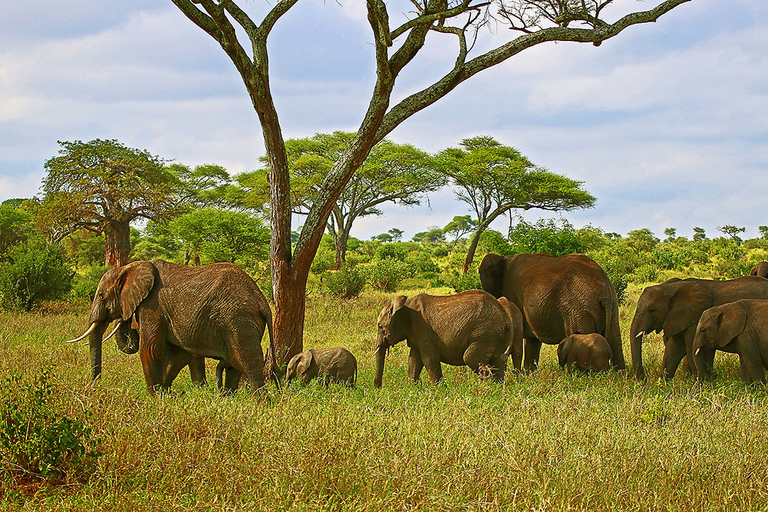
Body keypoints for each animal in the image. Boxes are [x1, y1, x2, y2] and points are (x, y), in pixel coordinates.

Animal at [65, 260, 276, 396]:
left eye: (101, 295)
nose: (95, 385)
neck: (128, 267)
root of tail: (261, 300)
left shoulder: (152, 305)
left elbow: (151, 349)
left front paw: (154, 396)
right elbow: (178, 355)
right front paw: (165, 393)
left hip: (238, 320)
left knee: (248, 361)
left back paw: (259, 402)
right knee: (233, 365)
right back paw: (230, 398)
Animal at [476, 253, 628, 370]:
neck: (505, 258)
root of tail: (603, 292)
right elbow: (532, 341)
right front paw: (528, 375)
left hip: (578, 309)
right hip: (612, 306)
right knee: (615, 340)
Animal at [632, 276, 768, 380]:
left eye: (652, 310)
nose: (643, 380)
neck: (671, 288)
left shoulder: (695, 318)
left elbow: (689, 348)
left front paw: (698, 383)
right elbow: (674, 348)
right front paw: (663, 383)